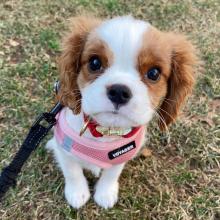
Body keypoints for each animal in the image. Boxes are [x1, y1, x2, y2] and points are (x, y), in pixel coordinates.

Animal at [46, 15, 196, 208]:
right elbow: (72, 171)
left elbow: (112, 173)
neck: (105, 131)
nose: (119, 91)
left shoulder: (123, 153)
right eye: (95, 63)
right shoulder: (63, 147)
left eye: (154, 73)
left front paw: (105, 193)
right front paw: (77, 193)